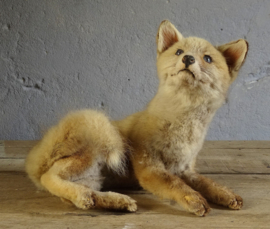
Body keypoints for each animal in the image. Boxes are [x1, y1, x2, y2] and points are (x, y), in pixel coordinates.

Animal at [25, 20, 249, 216]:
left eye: (208, 58)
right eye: (179, 52)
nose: (188, 59)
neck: (182, 128)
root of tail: (35, 157)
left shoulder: (185, 169)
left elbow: (208, 183)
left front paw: (225, 193)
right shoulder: (149, 166)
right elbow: (177, 186)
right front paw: (193, 200)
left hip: (93, 176)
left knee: (79, 193)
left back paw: (115, 201)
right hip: (96, 146)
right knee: (49, 177)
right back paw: (86, 196)